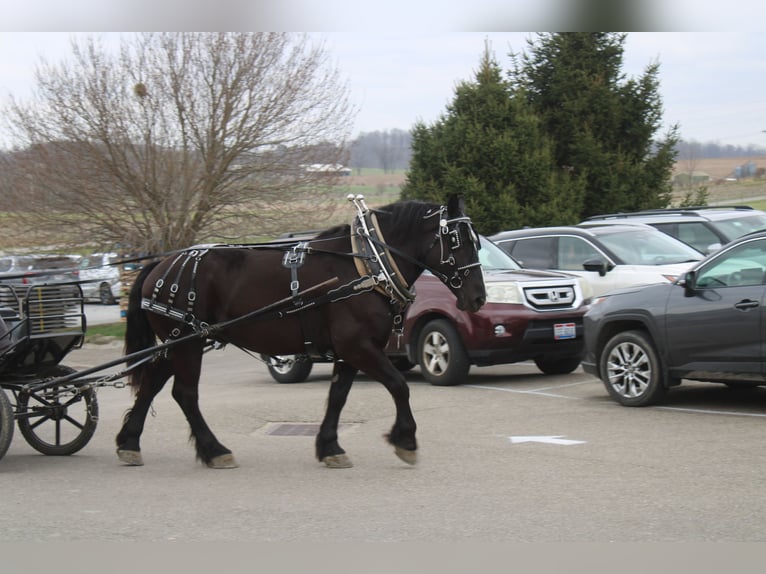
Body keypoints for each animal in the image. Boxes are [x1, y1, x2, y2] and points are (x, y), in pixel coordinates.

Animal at [116, 195, 486, 469]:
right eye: (455, 240)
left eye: (477, 242)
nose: (478, 298)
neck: (368, 265)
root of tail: (159, 264)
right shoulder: (358, 346)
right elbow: (398, 385)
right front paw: (405, 440)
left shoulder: (349, 352)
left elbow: (338, 397)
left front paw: (330, 447)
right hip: (187, 342)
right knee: (185, 393)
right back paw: (214, 450)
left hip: (185, 340)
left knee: (152, 383)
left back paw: (129, 442)